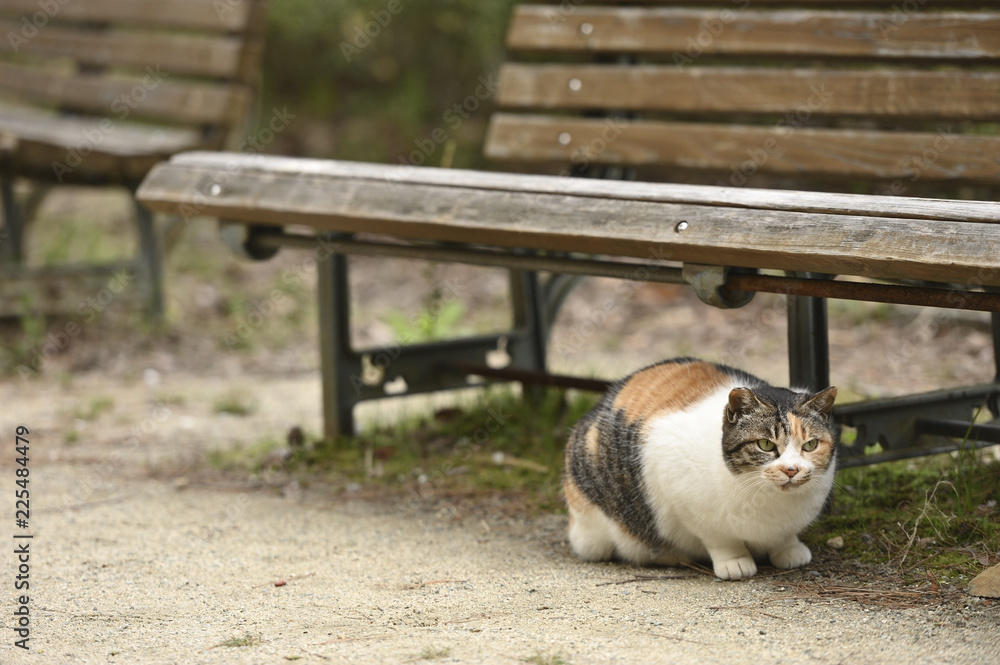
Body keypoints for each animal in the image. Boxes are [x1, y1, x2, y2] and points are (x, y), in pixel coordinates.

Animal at [564, 356, 836, 580]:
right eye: (766, 444)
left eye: (810, 445)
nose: (791, 469)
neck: (771, 503)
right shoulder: (682, 498)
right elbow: (719, 539)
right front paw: (736, 562)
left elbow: (784, 537)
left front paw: (789, 548)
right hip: (593, 531)